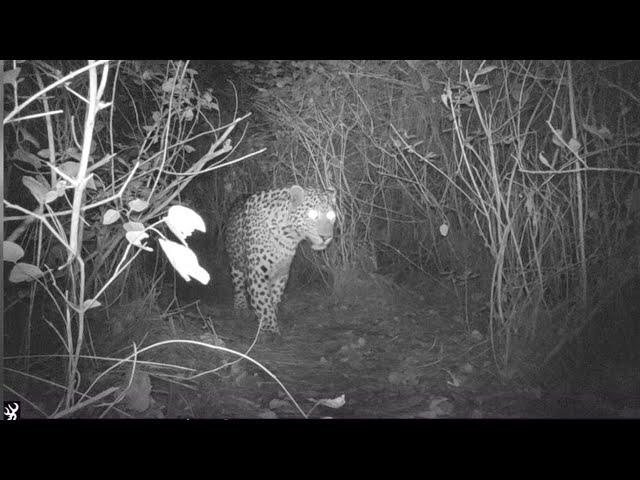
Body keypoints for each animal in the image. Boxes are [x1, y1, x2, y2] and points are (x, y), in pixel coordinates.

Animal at [225, 186, 338, 336]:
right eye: (313, 214)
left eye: (331, 216)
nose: (326, 237)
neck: (289, 236)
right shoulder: (257, 272)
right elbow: (263, 300)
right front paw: (269, 330)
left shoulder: (282, 272)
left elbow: (273, 297)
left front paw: (271, 316)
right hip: (235, 262)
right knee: (238, 286)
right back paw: (241, 308)